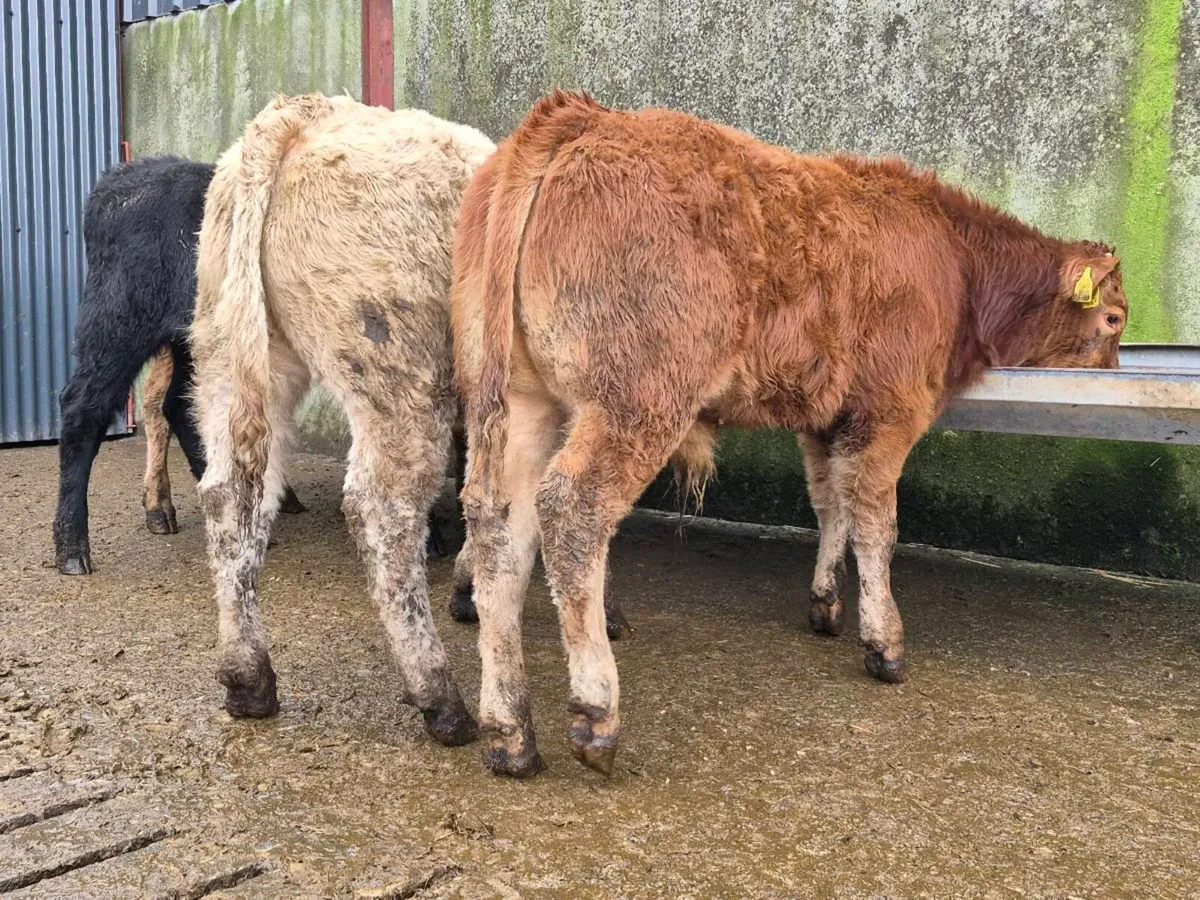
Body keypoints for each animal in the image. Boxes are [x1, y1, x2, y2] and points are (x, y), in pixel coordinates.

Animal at [52, 156, 306, 576]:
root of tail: (115, 183)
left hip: (189, 340)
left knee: (178, 406)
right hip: (119, 325)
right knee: (83, 409)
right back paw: (72, 548)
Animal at [191, 94, 493, 746]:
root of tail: (302, 115)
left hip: (234, 352)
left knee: (233, 495)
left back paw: (247, 679)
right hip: (399, 369)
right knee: (382, 511)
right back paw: (441, 698)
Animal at [453, 90, 1128, 777]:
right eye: (1114, 318)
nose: (1113, 373)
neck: (954, 257)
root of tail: (579, 116)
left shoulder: (823, 421)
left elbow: (831, 505)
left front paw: (826, 603)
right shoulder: (893, 411)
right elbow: (877, 524)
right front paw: (885, 643)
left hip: (518, 400)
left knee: (498, 526)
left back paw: (509, 731)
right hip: (636, 397)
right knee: (571, 510)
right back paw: (595, 712)